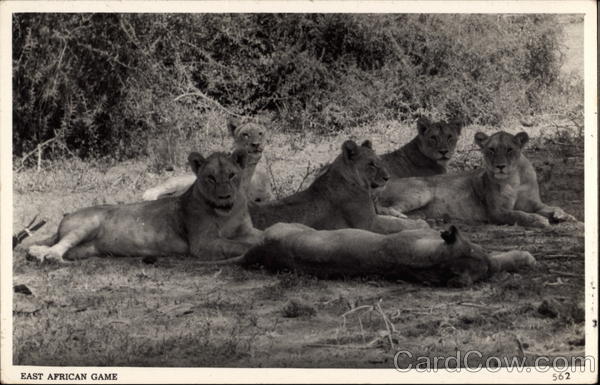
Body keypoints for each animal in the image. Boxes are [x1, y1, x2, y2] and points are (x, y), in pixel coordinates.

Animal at [27, 148, 262, 262]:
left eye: (231, 175)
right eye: (210, 178)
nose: (225, 197)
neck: (226, 214)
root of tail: (66, 216)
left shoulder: (246, 230)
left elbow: (259, 234)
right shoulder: (203, 243)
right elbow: (237, 245)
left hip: (85, 250)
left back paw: (39, 252)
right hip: (88, 223)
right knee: (60, 244)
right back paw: (48, 256)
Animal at [250, 140, 432, 232]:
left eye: (379, 161)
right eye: (371, 164)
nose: (387, 178)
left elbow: (394, 218)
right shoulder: (368, 224)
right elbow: (397, 225)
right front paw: (421, 225)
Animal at [378, 130, 580, 226]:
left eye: (509, 149)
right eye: (491, 150)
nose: (500, 166)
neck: (514, 178)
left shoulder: (535, 203)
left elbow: (552, 207)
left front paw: (565, 215)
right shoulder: (497, 212)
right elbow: (520, 215)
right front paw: (539, 220)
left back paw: (431, 220)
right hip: (421, 191)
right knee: (385, 209)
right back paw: (403, 218)